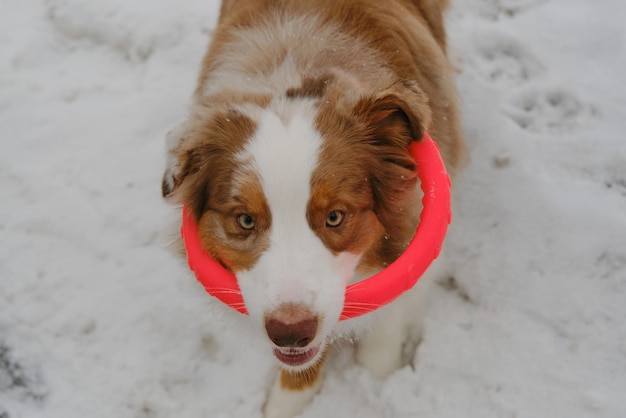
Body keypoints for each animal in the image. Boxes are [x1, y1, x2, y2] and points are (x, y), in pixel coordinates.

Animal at [161, 1, 464, 416]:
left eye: (335, 217)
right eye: (245, 220)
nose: (290, 332)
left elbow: (386, 324)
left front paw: (378, 377)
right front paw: (286, 401)